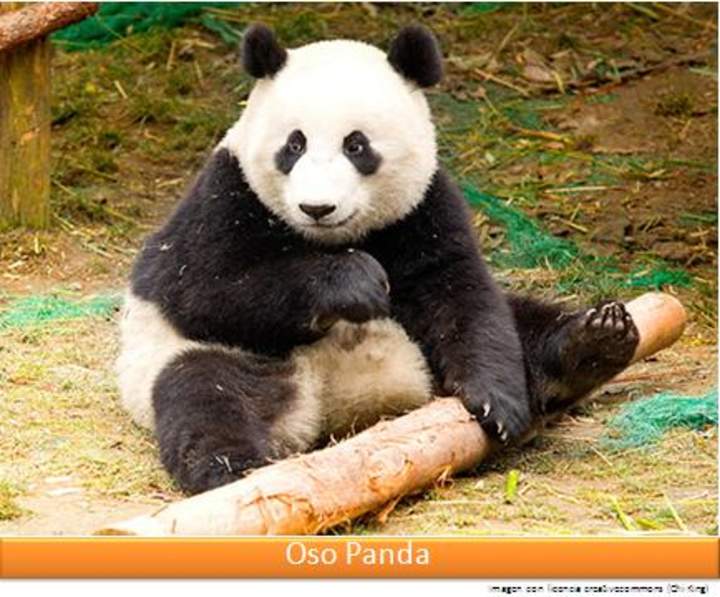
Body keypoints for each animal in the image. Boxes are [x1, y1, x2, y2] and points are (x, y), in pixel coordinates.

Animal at [116, 23, 640, 495]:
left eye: (356, 145)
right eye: (294, 144)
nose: (317, 208)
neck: (330, 238)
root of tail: (336, 403)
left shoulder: (424, 206)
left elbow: (461, 293)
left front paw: (496, 401)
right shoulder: (223, 197)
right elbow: (205, 288)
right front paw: (355, 281)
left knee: (521, 320)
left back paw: (596, 340)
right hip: (206, 358)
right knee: (204, 397)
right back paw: (234, 470)